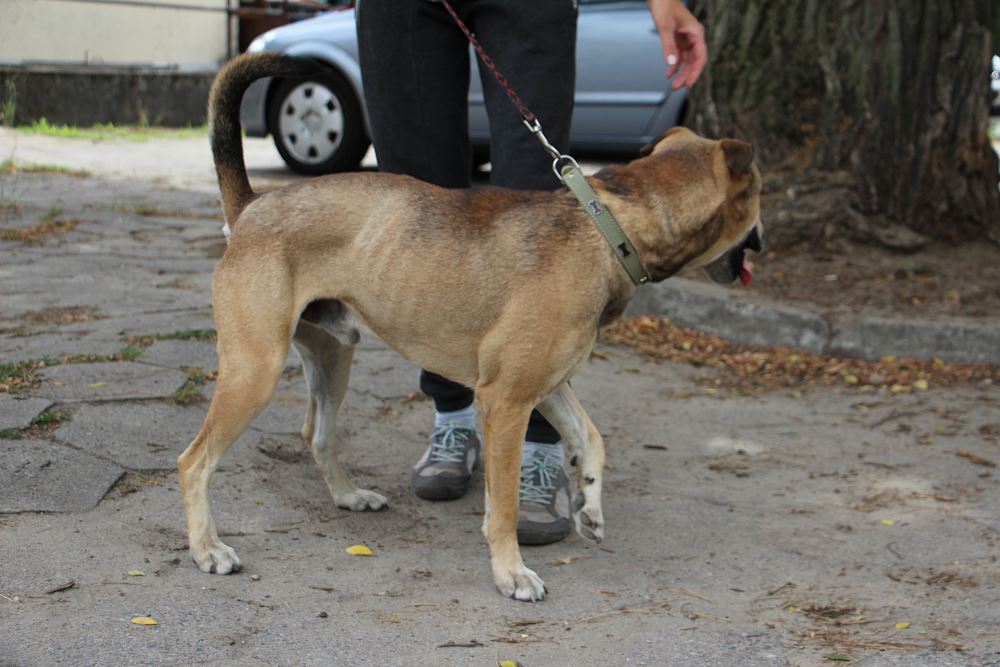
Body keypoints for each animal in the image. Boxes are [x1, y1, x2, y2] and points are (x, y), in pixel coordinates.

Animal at [178, 53, 764, 602]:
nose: (764, 240)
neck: (607, 226)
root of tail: (252, 206)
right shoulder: (506, 401)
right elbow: (503, 505)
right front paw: (511, 572)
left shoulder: (548, 387)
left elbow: (591, 440)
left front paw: (590, 504)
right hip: (255, 373)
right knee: (193, 462)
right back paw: (207, 549)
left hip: (332, 357)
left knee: (315, 434)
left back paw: (348, 496)